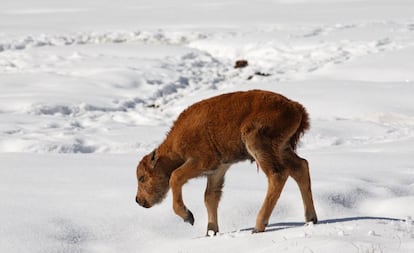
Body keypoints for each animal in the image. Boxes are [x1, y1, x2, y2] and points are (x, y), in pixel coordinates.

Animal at [135, 89, 316, 235]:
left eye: (142, 178)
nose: (138, 200)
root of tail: (295, 108)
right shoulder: (218, 169)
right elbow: (210, 196)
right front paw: (210, 231)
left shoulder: (203, 162)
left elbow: (175, 176)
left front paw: (188, 217)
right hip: (283, 148)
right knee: (300, 167)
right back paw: (311, 219)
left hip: (258, 144)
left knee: (277, 175)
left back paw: (258, 226)